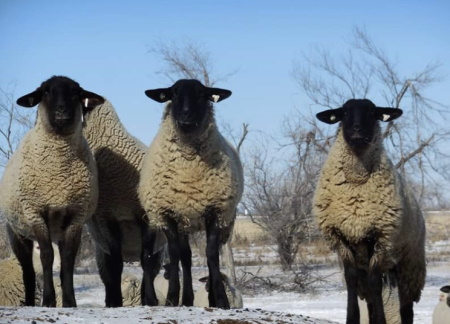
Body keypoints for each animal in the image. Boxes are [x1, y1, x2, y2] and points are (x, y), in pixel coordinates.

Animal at [0, 75, 104, 306]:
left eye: (75, 92)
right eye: (46, 92)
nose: (61, 111)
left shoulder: (76, 216)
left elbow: (68, 259)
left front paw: (70, 301)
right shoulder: (36, 212)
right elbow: (47, 256)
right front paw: (48, 300)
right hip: (17, 232)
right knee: (28, 271)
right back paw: (30, 301)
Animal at [81, 98, 166, 306]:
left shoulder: (146, 218)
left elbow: (146, 260)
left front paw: (150, 299)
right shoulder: (107, 219)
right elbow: (116, 264)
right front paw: (116, 302)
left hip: (160, 251)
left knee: (149, 268)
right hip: (100, 252)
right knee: (108, 274)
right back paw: (111, 299)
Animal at [139, 79, 244, 308]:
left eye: (202, 94)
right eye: (174, 93)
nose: (186, 116)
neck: (189, 168)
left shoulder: (216, 211)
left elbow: (211, 255)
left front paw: (220, 299)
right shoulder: (166, 213)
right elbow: (174, 254)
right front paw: (171, 298)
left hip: (212, 221)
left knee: (196, 256)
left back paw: (192, 298)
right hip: (168, 220)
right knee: (163, 257)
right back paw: (167, 298)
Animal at [312, 98, 426, 324]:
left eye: (372, 112)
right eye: (345, 112)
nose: (357, 129)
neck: (356, 182)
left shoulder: (379, 236)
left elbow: (376, 283)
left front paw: (381, 320)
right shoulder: (341, 236)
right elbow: (350, 278)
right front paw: (351, 318)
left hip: (410, 264)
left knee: (406, 307)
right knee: (371, 298)